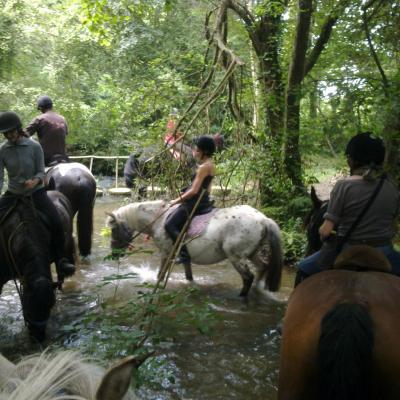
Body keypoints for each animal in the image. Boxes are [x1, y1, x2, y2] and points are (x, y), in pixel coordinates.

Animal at [105, 199, 282, 296]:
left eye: (114, 229)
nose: (114, 254)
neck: (160, 219)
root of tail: (263, 219)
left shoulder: (166, 253)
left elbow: (160, 275)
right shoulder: (184, 256)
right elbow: (188, 276)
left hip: (236, 257)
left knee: (248, 277)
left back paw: (241, 297)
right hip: (252, 253)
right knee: (262, 267)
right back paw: (258, 291)